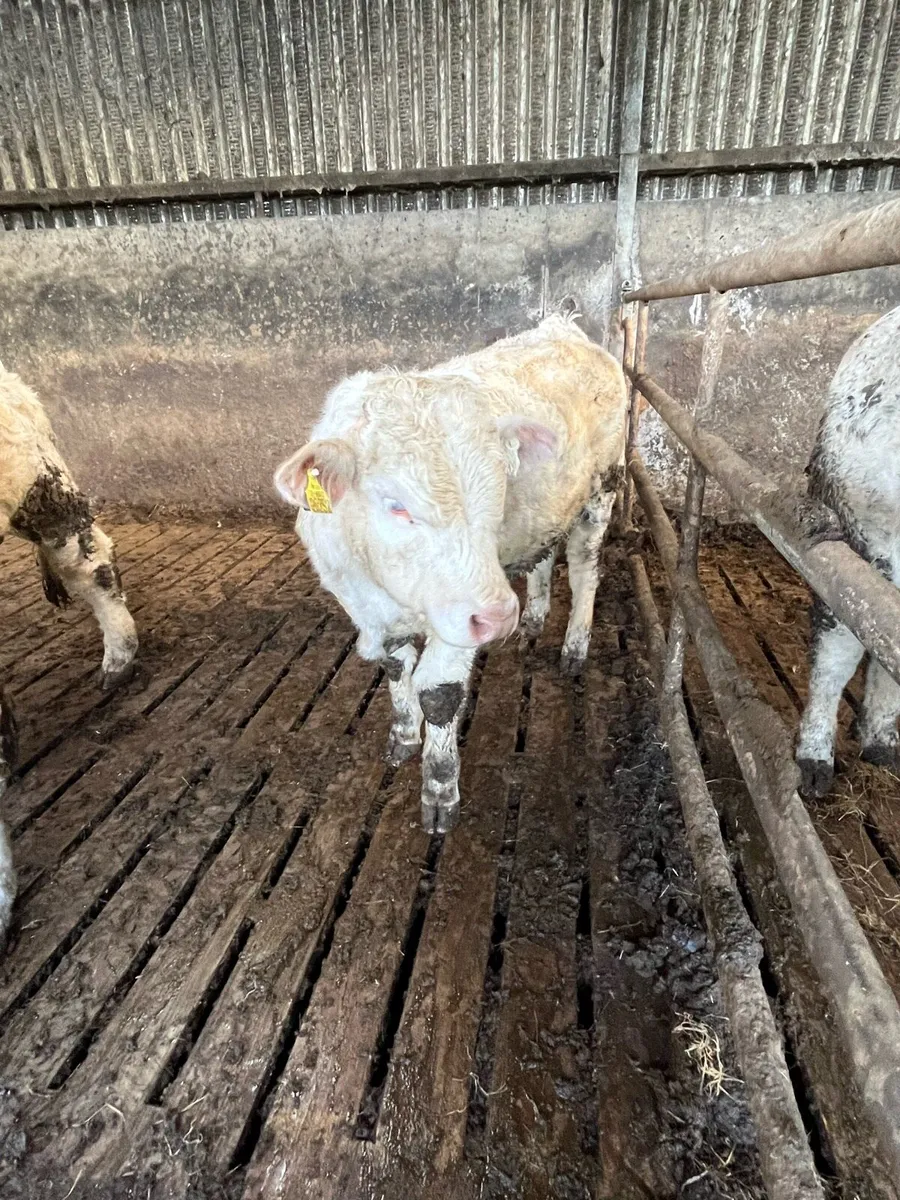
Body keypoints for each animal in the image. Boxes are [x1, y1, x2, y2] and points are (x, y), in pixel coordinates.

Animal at [275, 313, 627, 833]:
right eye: (397, 506)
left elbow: (440, 694)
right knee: (544, 557)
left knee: (585, 569)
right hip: (547, 511)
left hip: (602, 490)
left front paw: (440, 790)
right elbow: (395, 667)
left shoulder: (461, 620)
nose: (499, 617)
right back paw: (534, 620)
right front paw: (403, 736)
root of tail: (564, 327)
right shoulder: (363, 605)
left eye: (496, 494)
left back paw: (574, 647)